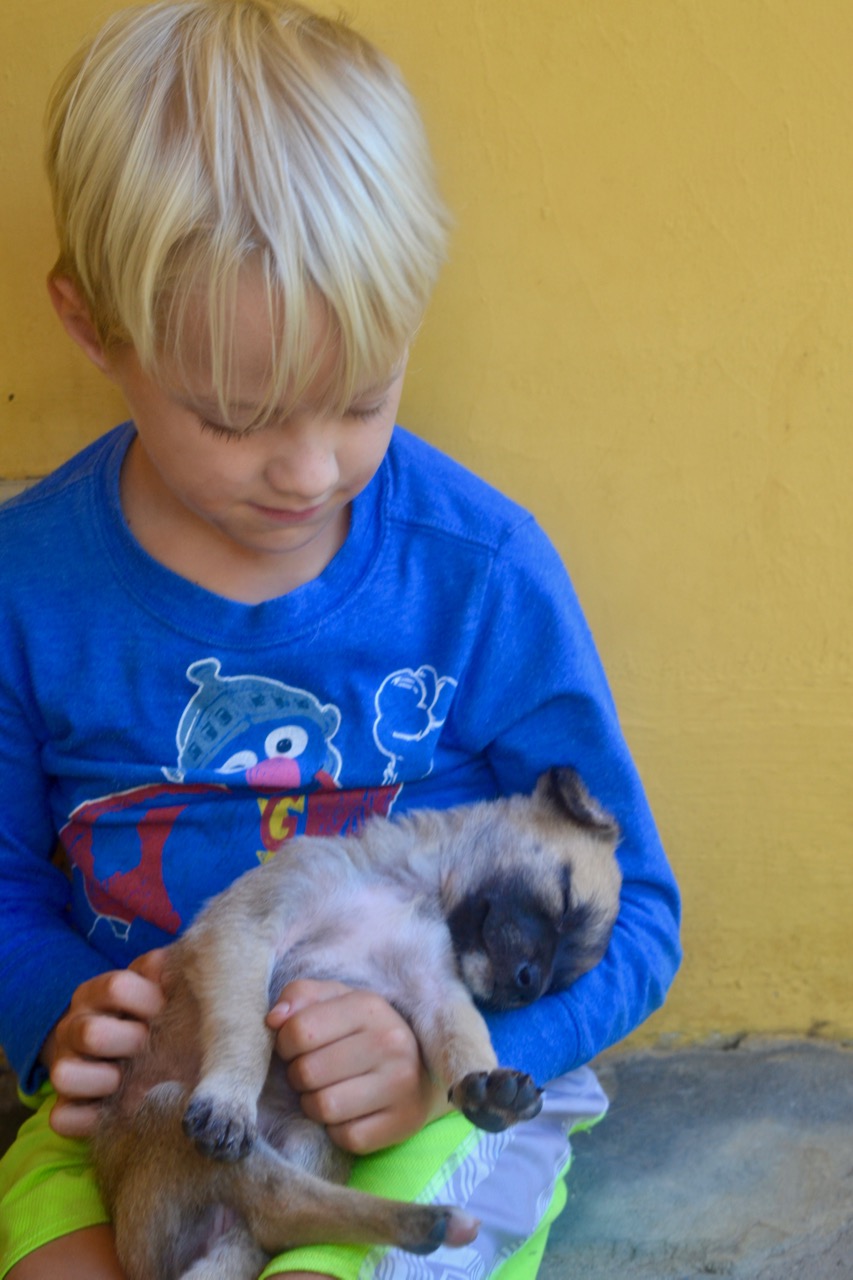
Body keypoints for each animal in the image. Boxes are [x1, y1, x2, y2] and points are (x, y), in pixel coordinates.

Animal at [91, 767, 622, 1280]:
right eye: (564, 897)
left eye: (559, 983)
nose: (528, 988)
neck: (405, 891)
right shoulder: (246, 929)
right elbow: (247, 1030)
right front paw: (230, 1098)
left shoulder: (435, 989)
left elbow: (463, 1037)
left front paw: (492, 1086)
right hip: (167, 1112)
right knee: (279, 1204)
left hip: (309, 1141)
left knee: (283, 1211)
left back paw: (424, 1222)